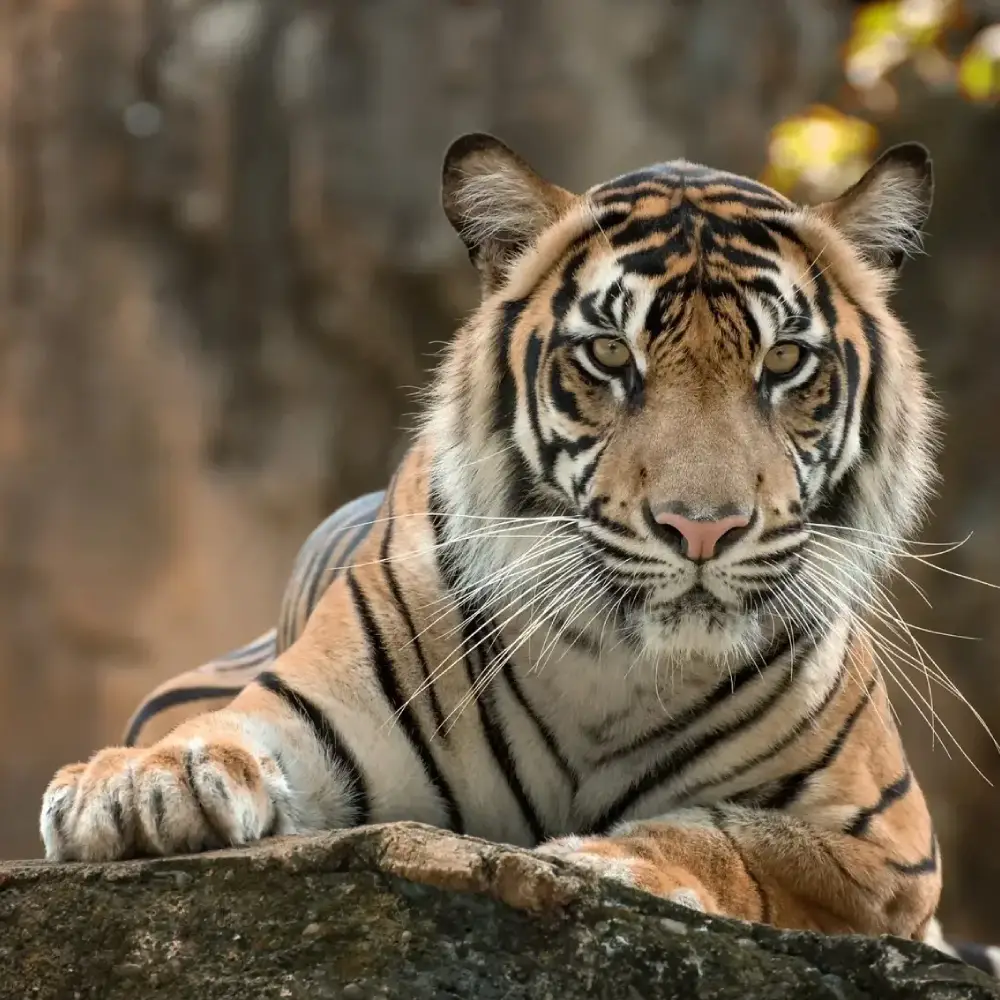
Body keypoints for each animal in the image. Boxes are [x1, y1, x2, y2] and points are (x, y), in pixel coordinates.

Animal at [37, 131, 998, 969]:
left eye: (786, 362)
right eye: (610, 354)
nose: (703, 526)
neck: (616, 666)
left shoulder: (885, 845)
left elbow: (738, 837)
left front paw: (614, 860)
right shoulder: (309, 711)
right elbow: (220, 733)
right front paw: (133, 788)